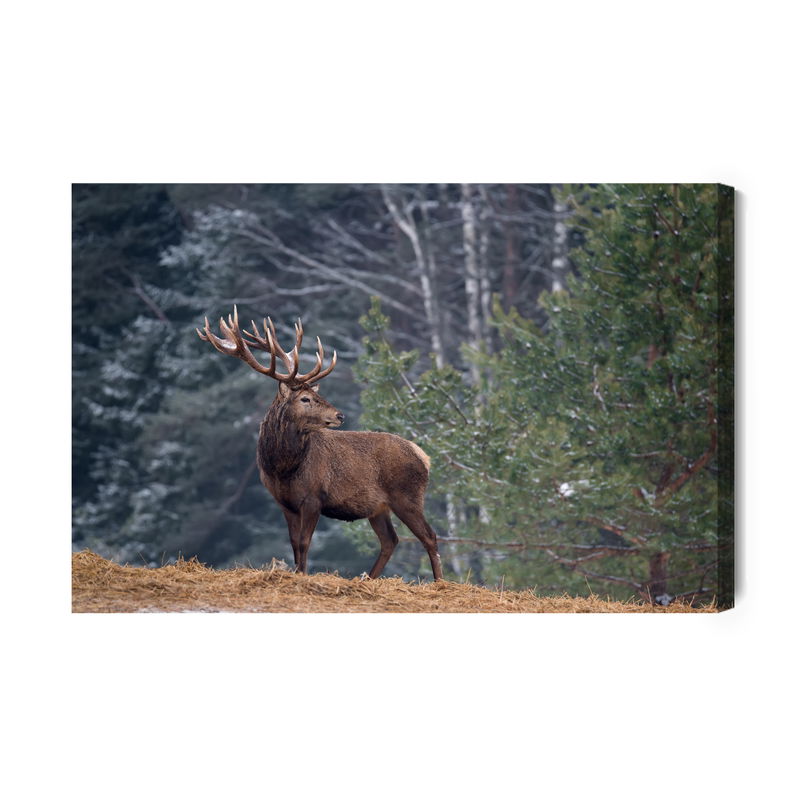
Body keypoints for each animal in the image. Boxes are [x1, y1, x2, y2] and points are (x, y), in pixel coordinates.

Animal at [197, 307, 444, 581]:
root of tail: (424, 456)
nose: (340, 415)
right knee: (390, 540)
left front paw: (303, 575)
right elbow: (294, 544)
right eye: (305, 398)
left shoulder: (314, 497)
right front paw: (297, 573)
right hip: (378, 507)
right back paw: (367, 578)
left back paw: (439, 582)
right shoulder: (285, 503)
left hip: (407, 495)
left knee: (429, 536)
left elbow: (305, 543)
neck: (283, 469)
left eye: (316, 395)